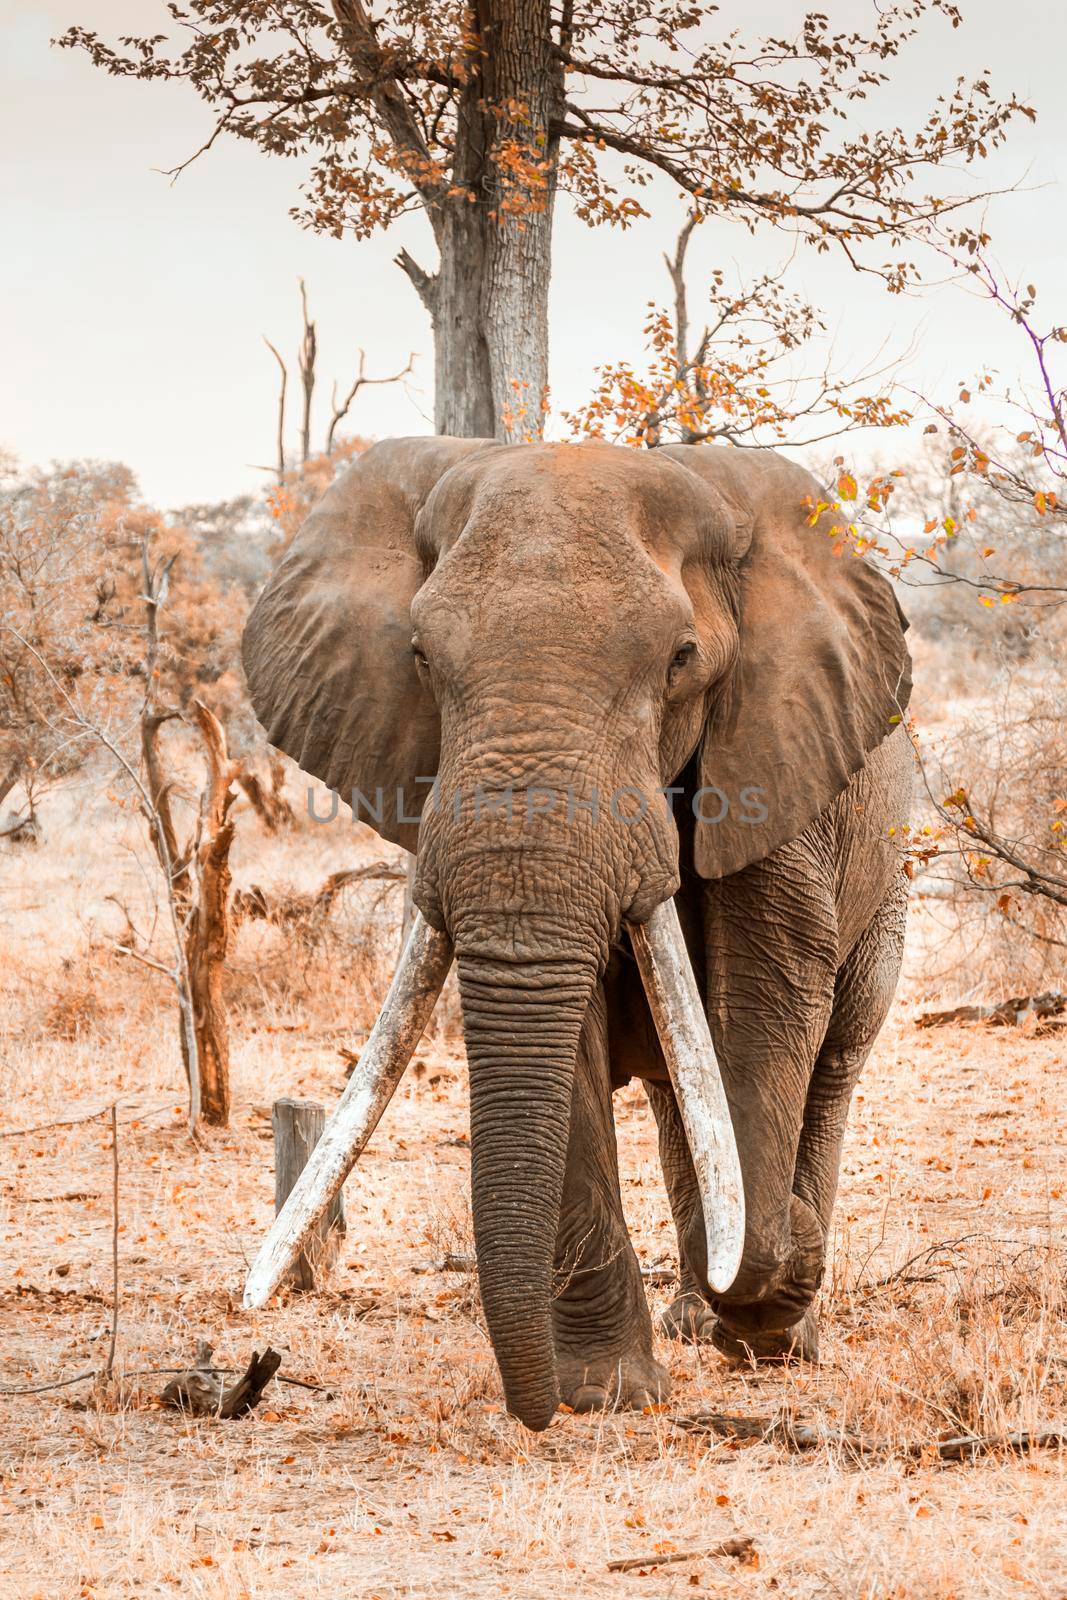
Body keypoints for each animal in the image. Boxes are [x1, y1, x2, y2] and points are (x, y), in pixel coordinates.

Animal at [241, 432, 908, 1433]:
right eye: (419, 655)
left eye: (680, 659)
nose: (535, 1411)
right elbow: (572, 1033)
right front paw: (607, 1393)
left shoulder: (773, 763)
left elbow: (765, 1002)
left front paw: (772, 1280)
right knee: (679, 1100)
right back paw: (698, 1315)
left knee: (828, 1066)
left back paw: (781, 1327)